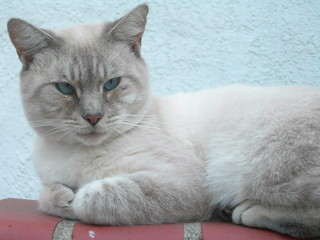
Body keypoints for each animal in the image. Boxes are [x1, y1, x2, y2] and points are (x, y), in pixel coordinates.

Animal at [6, 3, 320, 238]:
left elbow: (96, 197)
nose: (93, 116)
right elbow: (48, 196)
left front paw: (77, 197)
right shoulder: (50, 180)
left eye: (111, 84)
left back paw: (243, 211)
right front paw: (63, 196)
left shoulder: (182, 181)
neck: (78, 157)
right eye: (65, 88)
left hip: (251, 167)